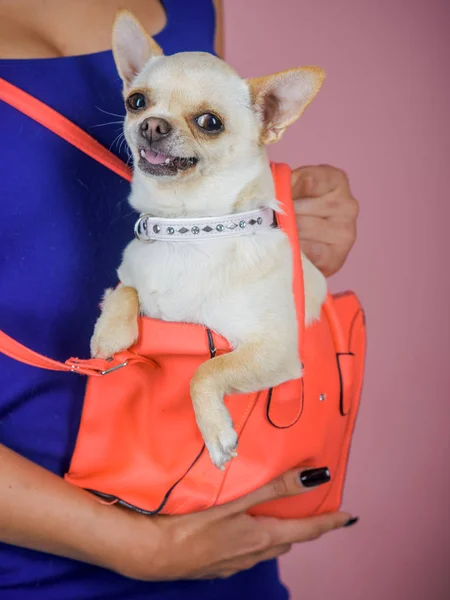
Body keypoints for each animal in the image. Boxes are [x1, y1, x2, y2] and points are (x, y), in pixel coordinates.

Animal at [90, 10, 326, 468]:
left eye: (209, 123)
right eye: (137, 101)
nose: (152, 124)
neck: (187, 230)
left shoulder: (274, 351)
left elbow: (205, 371)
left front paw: (216, 432)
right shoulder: (129, 275)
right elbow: (124, 289)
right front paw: (108, 333)